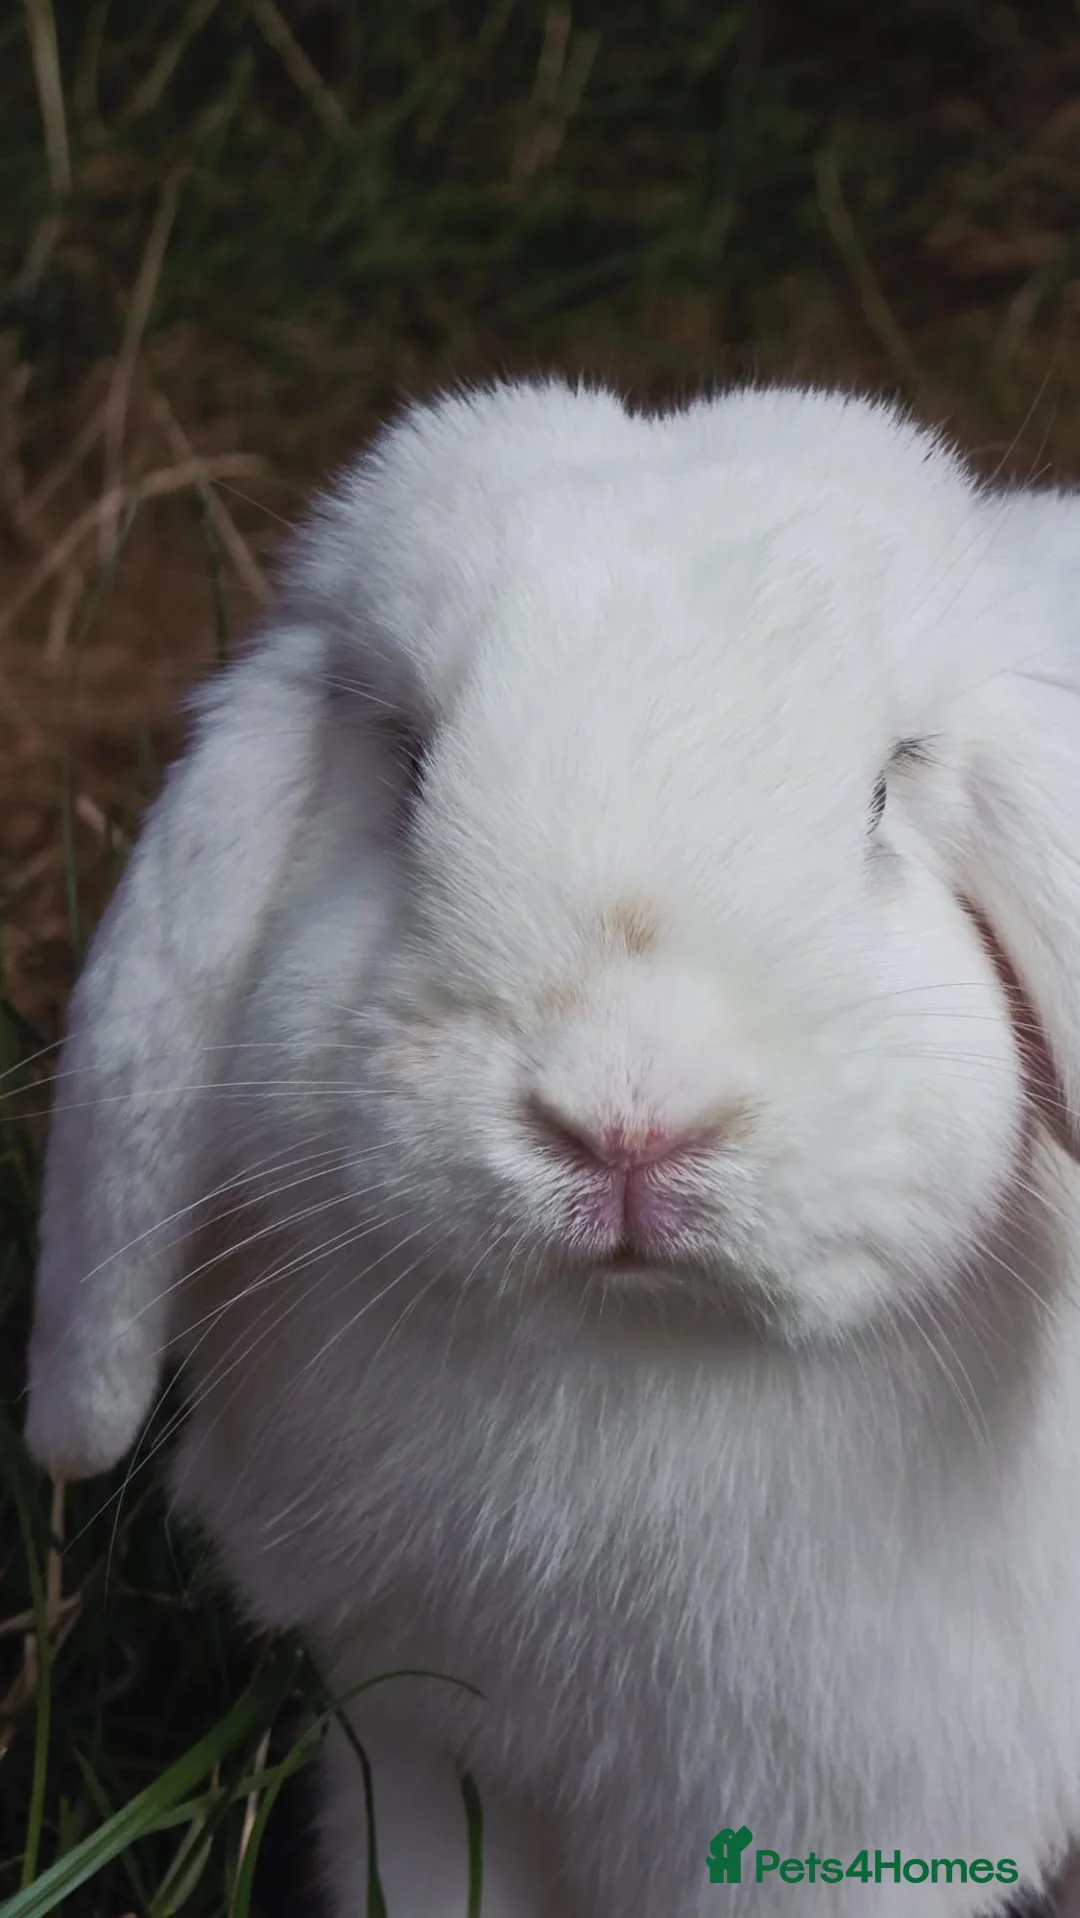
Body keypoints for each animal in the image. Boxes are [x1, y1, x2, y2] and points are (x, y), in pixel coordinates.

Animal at [23, 375, 1080, 1917]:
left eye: (887, 795)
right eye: (405, 769)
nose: (627, 1122)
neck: (638, 1359)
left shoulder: (842, 1820)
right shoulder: (425, 1748)